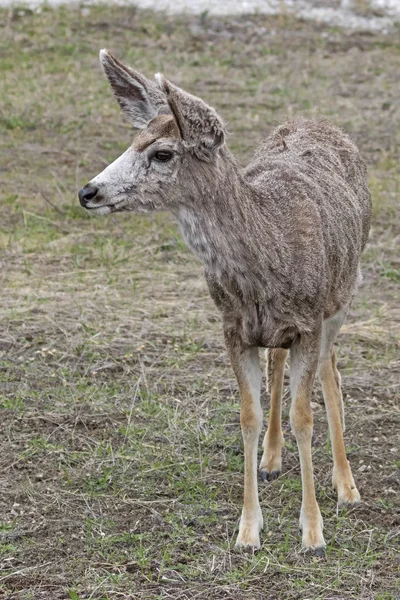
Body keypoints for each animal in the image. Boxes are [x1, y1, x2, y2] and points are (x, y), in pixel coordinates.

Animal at [78, 49, 372, 556]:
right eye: (133, 140)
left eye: (162, 152)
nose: (88, 191)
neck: (268, 255)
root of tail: (315, 121)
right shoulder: (233, 327)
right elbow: (248, 415)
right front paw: (248, 530)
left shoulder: (309, 324)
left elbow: (304, 416)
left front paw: (313, 533)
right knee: (278, 361)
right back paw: (271, 461)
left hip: (343, 294)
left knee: (330, 371)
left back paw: (346, 486)